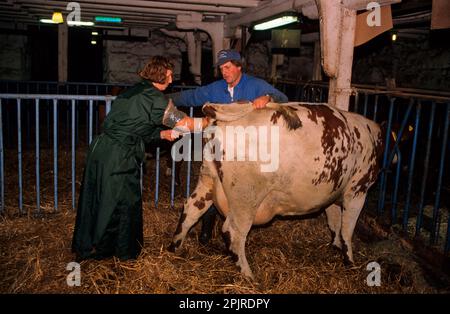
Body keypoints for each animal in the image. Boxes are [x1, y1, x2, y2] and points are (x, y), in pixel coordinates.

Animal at [167, 102, 384, 278]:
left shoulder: (333, 193)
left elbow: (335, 222)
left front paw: (336, 245)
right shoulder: (357, 190)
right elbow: (347, 228)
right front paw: (349, 261)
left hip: (208, 180)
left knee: (191, 209)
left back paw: (174, 247)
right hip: (246, 197)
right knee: (234, 231)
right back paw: (248, 275)